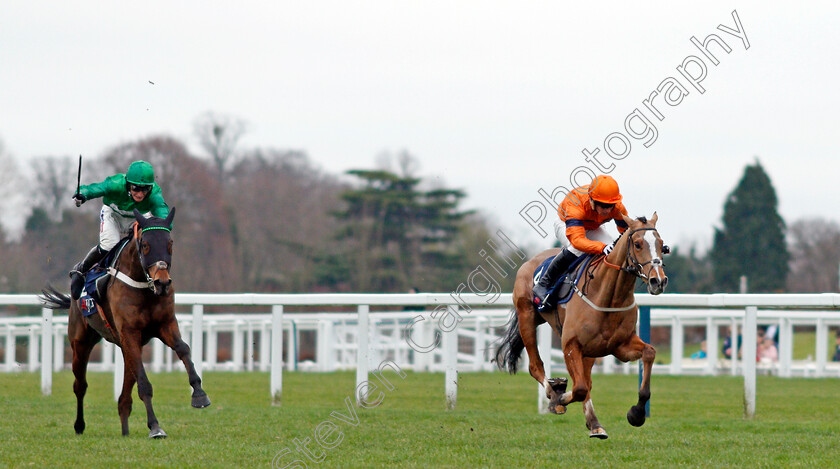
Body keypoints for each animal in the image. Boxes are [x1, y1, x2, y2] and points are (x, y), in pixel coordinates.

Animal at [39, 207, 212, 436]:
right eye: (145, 245)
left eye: (170, 243)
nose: (162, 283)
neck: (144, 286)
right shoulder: (129, 333)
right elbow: (144, 382)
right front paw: (155, 426)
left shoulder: (165, 325)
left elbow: (183, 348)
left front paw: (199, 394)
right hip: (81, 342)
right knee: (80, 385)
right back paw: (79, 425)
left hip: (125, 346)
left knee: (124, 396)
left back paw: (125, 429)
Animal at [496, 213, 668, 438]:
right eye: (638, 244)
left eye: (661, 244)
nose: (659, 281)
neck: (609, 296)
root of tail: (530, 262)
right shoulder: (570, 345)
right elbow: (578, 389)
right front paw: (559, 398)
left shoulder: (620, 346)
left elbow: (649, 353)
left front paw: (637, 413)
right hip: (527, 317)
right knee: (536, 367)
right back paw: (554, 393)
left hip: (590, 350)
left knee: (586, 380)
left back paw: (594, 424)